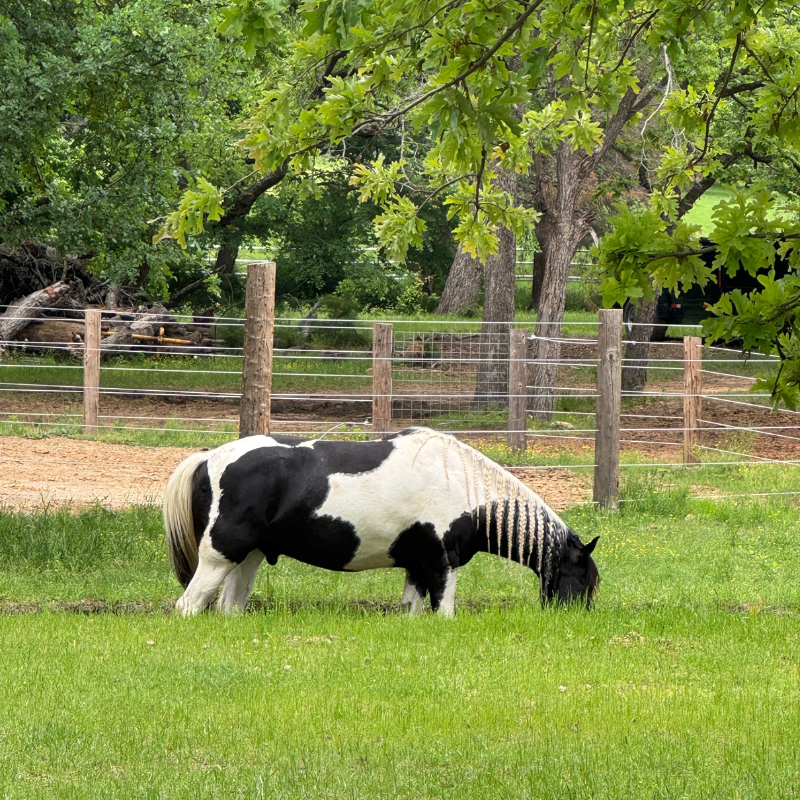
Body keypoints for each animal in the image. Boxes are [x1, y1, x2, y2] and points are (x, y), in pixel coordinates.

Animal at [163, 427, 600, 616]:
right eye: (584, 579)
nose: (577, 618)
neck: (460, 482)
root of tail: (208, 458)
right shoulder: (442, 564)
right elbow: (444, 610)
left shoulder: (417, 566)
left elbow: (410, 610)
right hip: (221, 554)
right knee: (188, 605)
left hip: (249, 557)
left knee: (228, 608)